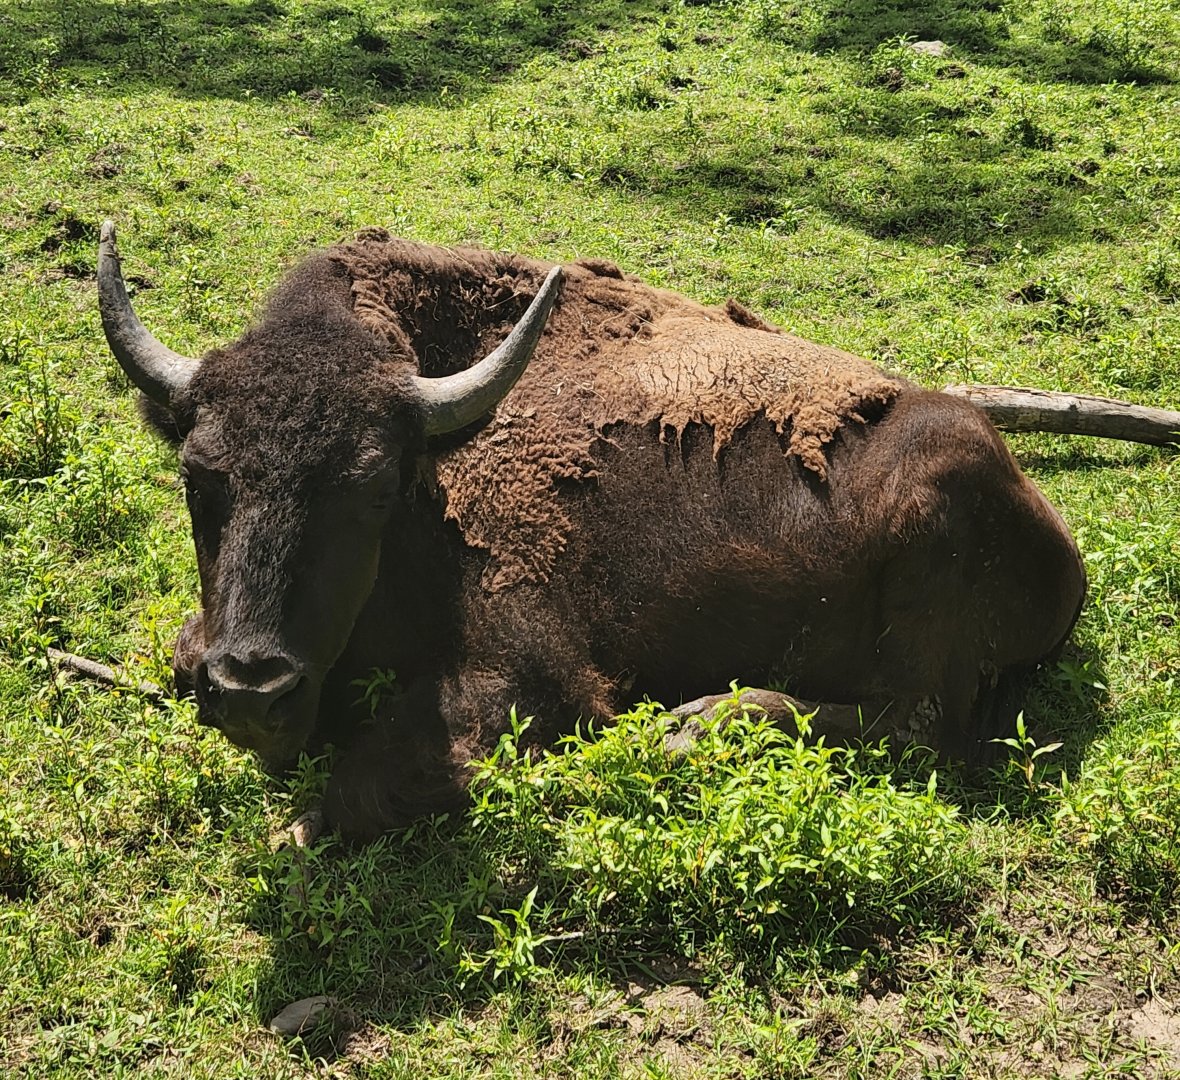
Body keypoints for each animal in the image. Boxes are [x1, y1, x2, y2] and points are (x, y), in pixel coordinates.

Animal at [97, 222, 1086, 840]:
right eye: (197, 475)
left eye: (373, 486)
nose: (252, 689)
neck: (438, 456)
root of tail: (1063, 554)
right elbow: (184, 655)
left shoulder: (536, 667)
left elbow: (371, 777)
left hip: (934, 515)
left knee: (921, 728)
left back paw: (697, 723)